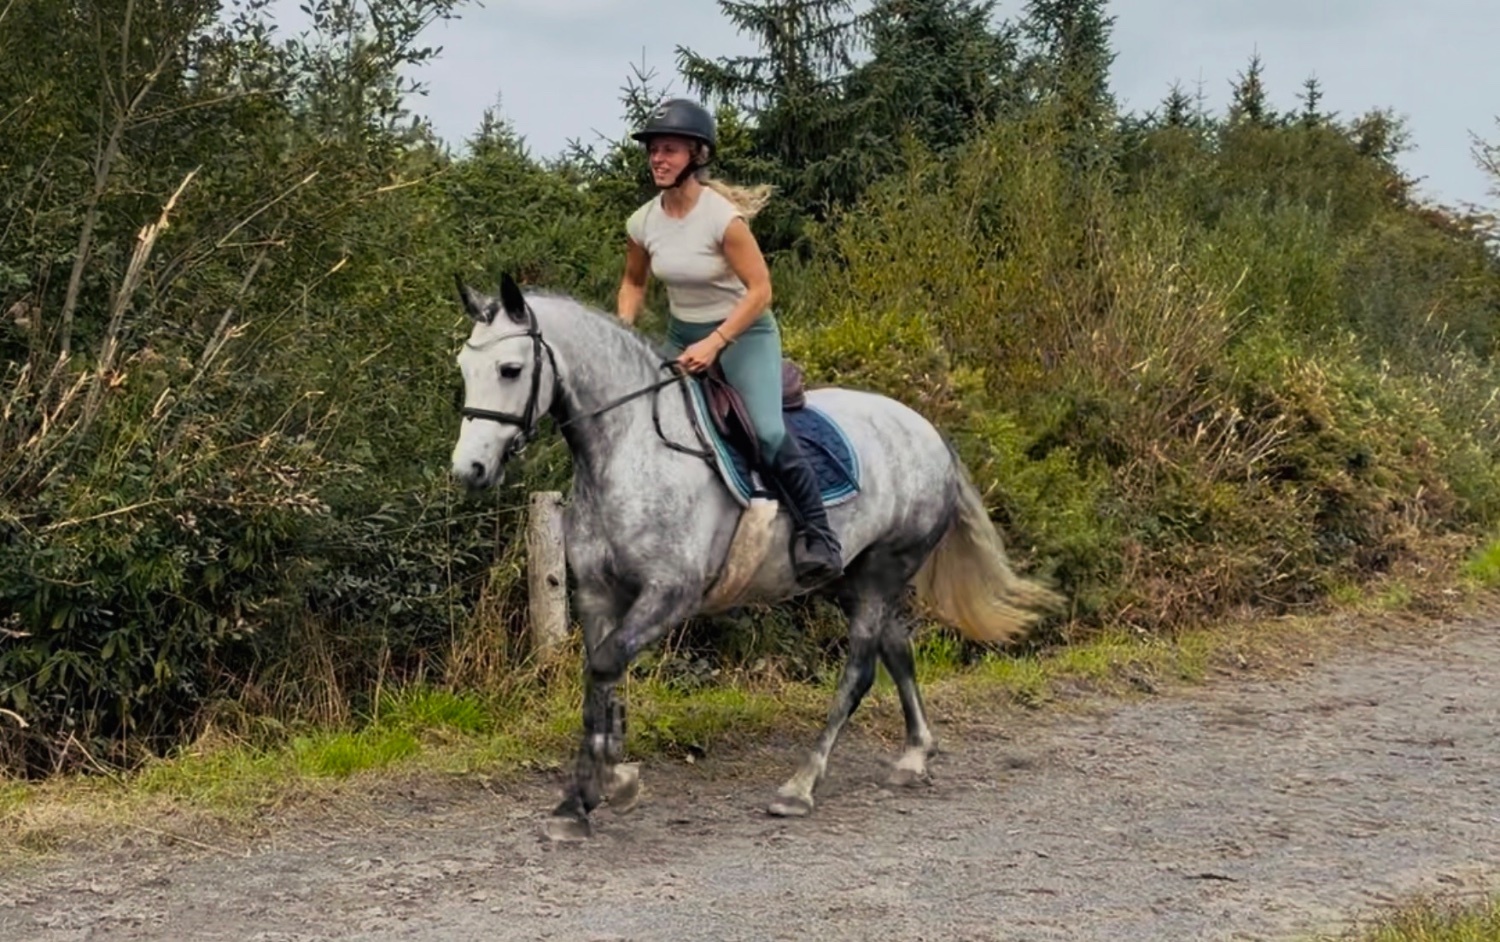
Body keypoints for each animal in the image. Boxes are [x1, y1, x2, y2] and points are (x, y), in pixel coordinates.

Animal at [448, 272, 1063, 841]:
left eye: (510, 369)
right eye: (464, 367)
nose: (468, 470)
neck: (629, 450)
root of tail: (926, 429)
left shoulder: (671, 593)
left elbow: (605, 666)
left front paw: (606, 784)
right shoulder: (599, 593)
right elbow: (601, 676)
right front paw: (586, 797)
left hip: (885, 570)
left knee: (861, 670)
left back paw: (800, 786)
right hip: (852, 576)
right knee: (897, 649)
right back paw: (914, 755)